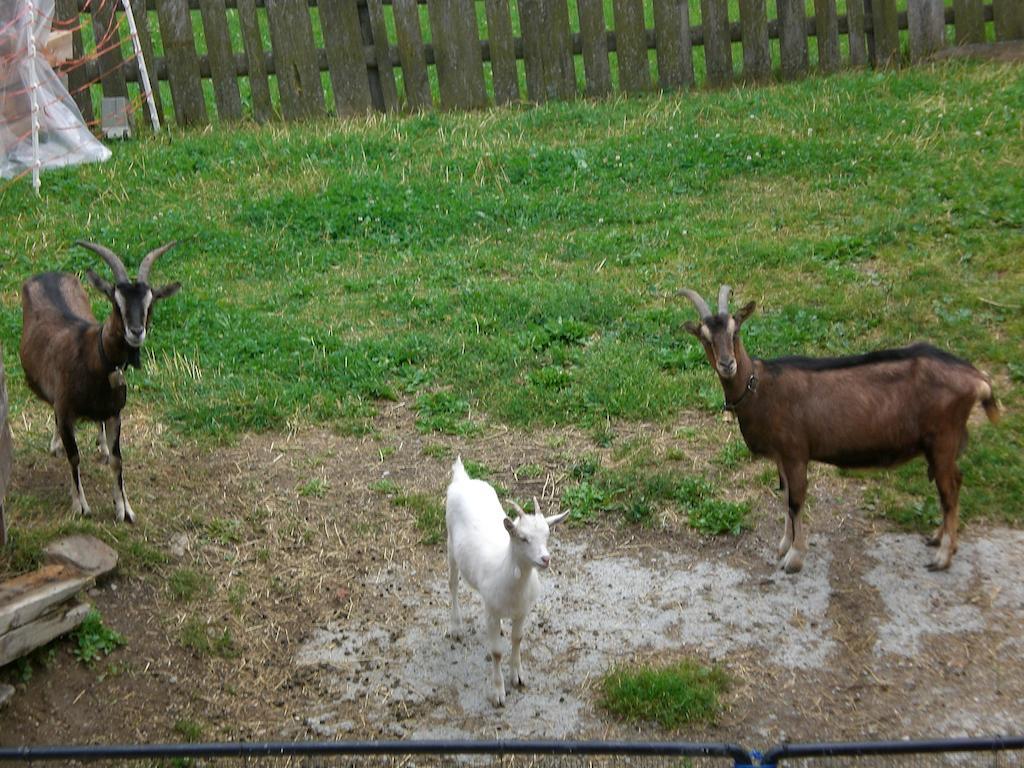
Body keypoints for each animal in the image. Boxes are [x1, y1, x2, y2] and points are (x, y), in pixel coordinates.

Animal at [19, 243, 181, 528]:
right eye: (116, 303)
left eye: (150, 303)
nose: (136, 331)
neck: (93, 355)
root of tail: (48, 274)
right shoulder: (66, 411)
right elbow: (74, 457)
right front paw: (81, 506)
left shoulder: (115, 413)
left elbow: (117, 460)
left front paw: (124, 509)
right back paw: (57, 444)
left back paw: (100, 445)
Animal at [446, 456, 573, 708]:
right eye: (522, 538)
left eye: (548, 535)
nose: (545, 559)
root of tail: (462, 479)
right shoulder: (491, 611)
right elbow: (496, 652)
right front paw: (497, 692)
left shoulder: (522, 610)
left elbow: (518, 638)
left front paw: (518, 676)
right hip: (450, 546)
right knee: (453, 585)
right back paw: (456, 626)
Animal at [679, 286, 999, 573]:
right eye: (705, 338)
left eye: (736, 331)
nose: (727, 364)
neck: (761, 387)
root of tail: (977, 379)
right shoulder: (782, 457)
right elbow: (784, 497)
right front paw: (783, 545)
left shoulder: (796, 452)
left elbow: (795, 501)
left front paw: (794, 558)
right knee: (953, 483)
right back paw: (938, 540)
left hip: (943, 439)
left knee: (950, 490)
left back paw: (942, 557)